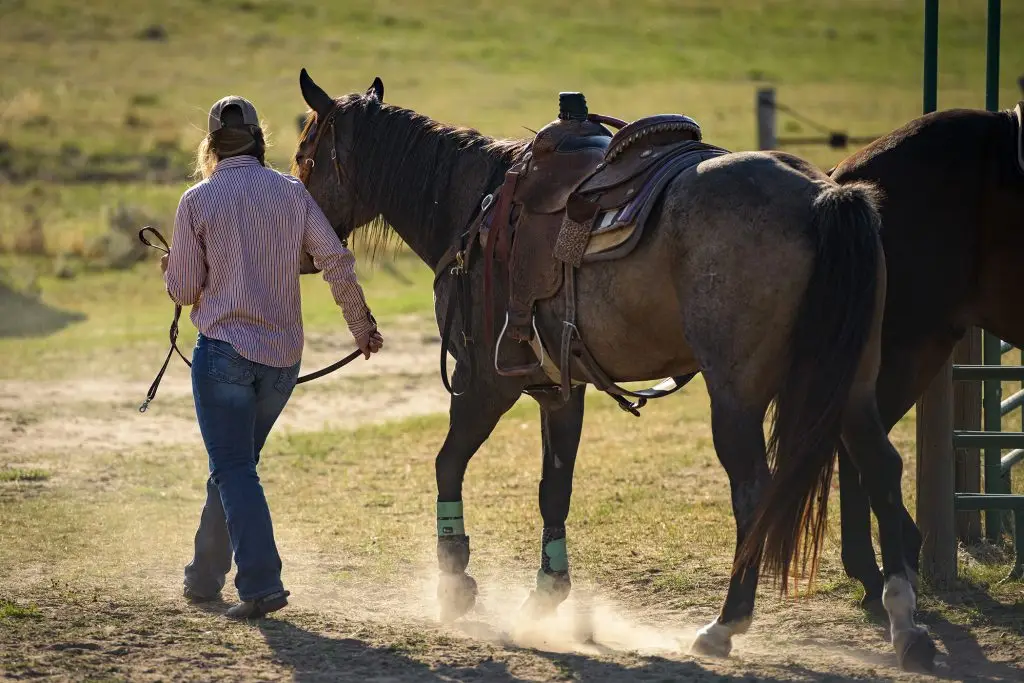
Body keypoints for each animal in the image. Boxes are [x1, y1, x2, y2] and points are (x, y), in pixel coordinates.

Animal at [291, 68, 936, 672]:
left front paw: (454, 583)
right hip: (851, 384)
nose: (302, 253)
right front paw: (546, 594)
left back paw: (725, 624)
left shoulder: (485, 383)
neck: (474, 206)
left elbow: (447, 464)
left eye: (303, 156)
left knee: (754, 489)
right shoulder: (560, 390)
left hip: (737, 394)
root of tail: (821, 196)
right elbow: (554, 489)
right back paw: (907, 627)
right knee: (881, 468)